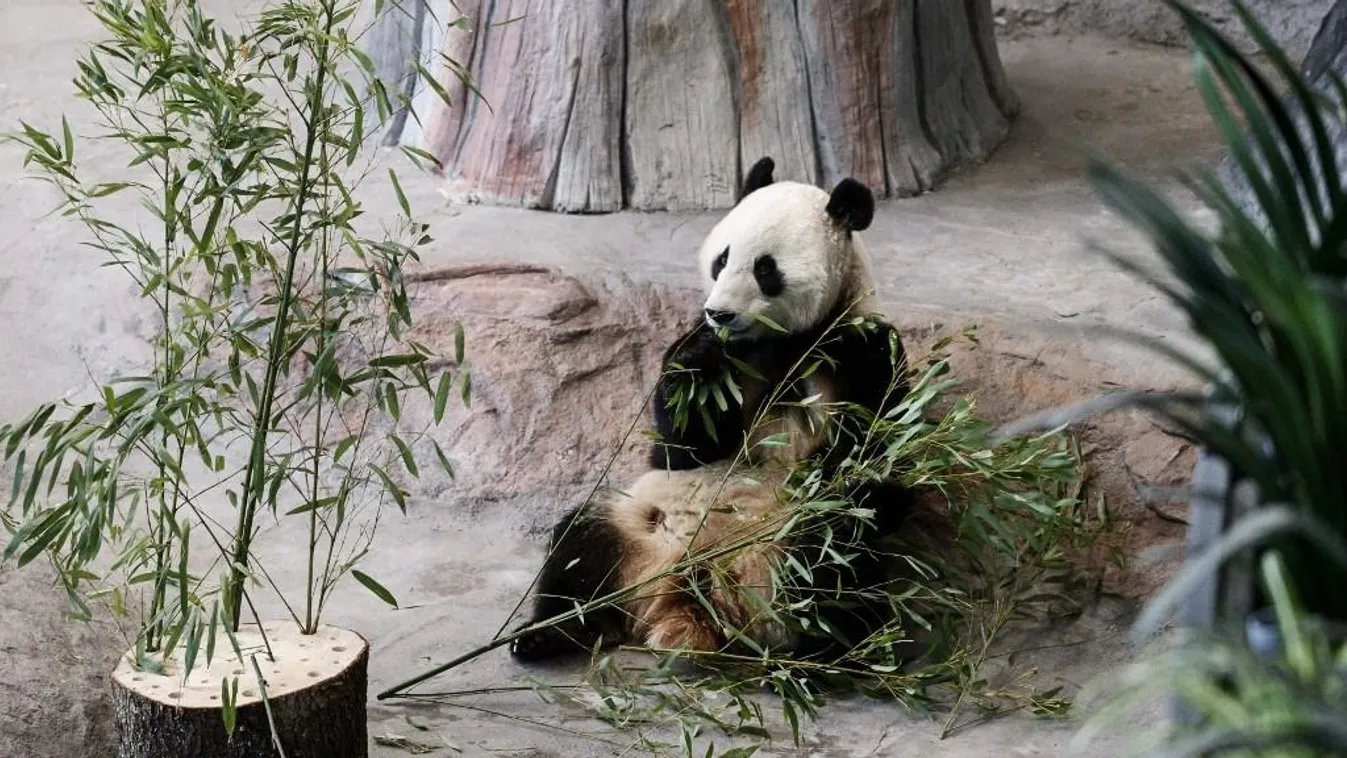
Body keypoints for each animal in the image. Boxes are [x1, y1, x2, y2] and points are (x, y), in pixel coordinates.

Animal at [506, 158, 915, 665]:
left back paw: (837, 657)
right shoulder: (729, 355)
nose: (718, 313)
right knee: (578, 545)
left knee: (832, 570)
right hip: (634, 525)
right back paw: (548, 632)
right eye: (722, 258)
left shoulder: (861, 348)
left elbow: (878, 454)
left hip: (781, 560)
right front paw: (698, 360)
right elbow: (680, 447)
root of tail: (688, 601)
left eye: (765, 268)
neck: (781, 341)